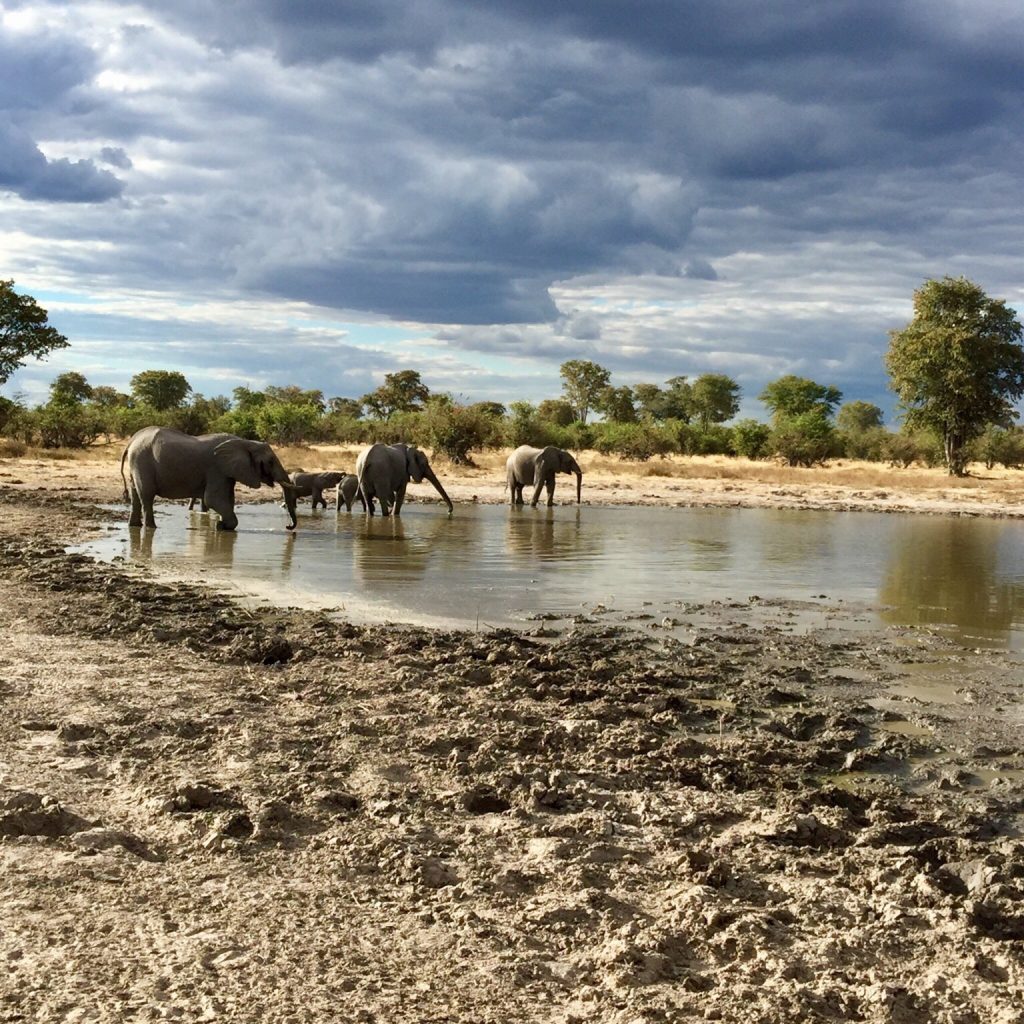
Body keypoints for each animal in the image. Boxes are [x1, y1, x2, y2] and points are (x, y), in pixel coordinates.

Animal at [121, 426, 298, 531]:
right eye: (270, 462)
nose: (288, 526)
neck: (244, 442)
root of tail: (131, 441)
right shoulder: (216, 469)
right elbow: (213, 499)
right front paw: (222, 526)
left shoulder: (227, 471)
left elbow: (228, 499)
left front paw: (221, 525)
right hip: (142, 460)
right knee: (147, 495)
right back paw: (152, 528)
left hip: (137, 462)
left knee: (136, 494)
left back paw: (135, 526)